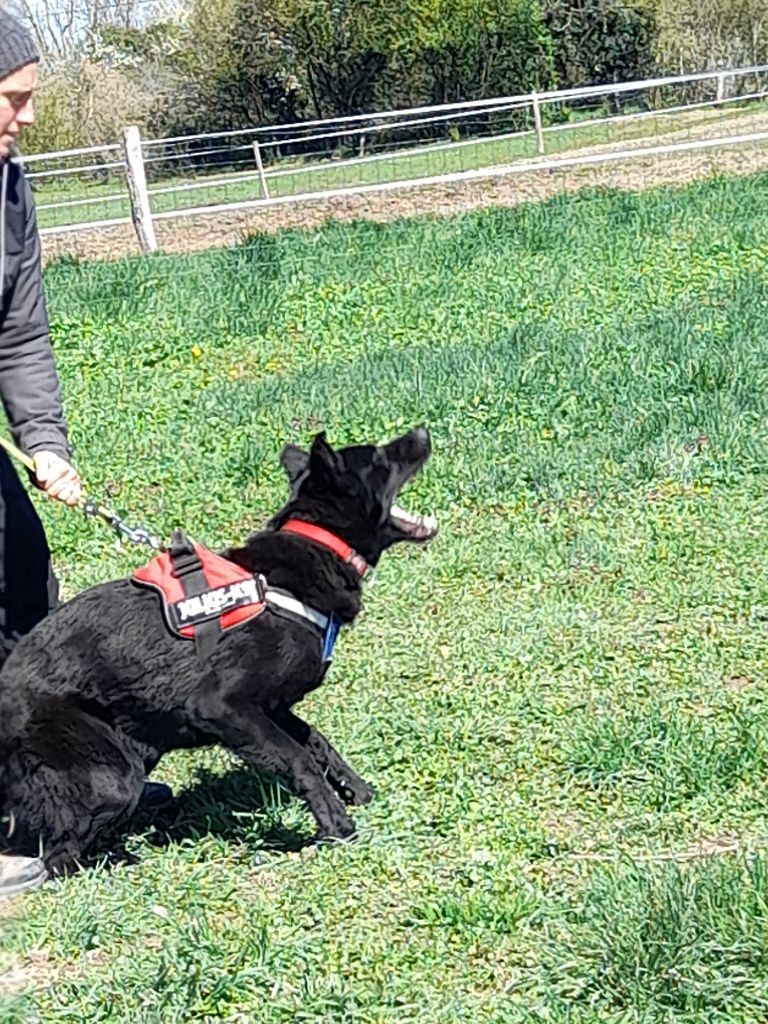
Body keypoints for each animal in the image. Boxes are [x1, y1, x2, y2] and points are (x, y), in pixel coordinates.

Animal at [0, 428, 436, 876]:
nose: (422, 431)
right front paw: (335, 823)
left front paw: (357, 789)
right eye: (379, 457)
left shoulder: (273, 708)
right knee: (60, 856)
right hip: (112, 776)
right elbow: (299, 759)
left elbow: (317, 742)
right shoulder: (222, 707)